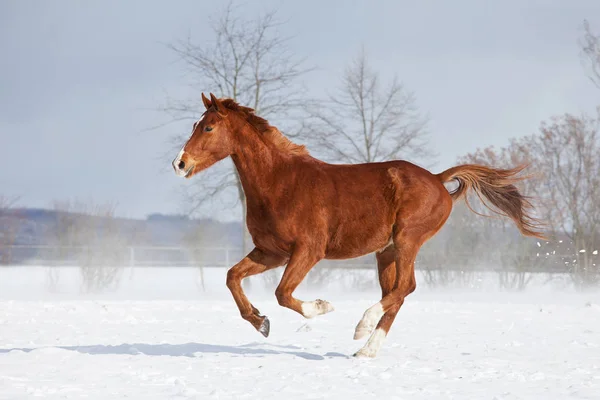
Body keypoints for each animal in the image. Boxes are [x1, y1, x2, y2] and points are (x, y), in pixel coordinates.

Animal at [170, 94, 544, 360]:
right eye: (195, 123)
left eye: (208, 127)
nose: (179, 163)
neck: (279, 182)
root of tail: (438, 180)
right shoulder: (270, 252)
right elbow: (232, 277)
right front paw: (261, 323)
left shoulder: (308, 250)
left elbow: (282, 293)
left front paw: (321, 307)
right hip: (386, 252)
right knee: (397, 294)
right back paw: (366, 349)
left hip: (407, 240)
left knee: (405, 288)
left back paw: (361, 329)